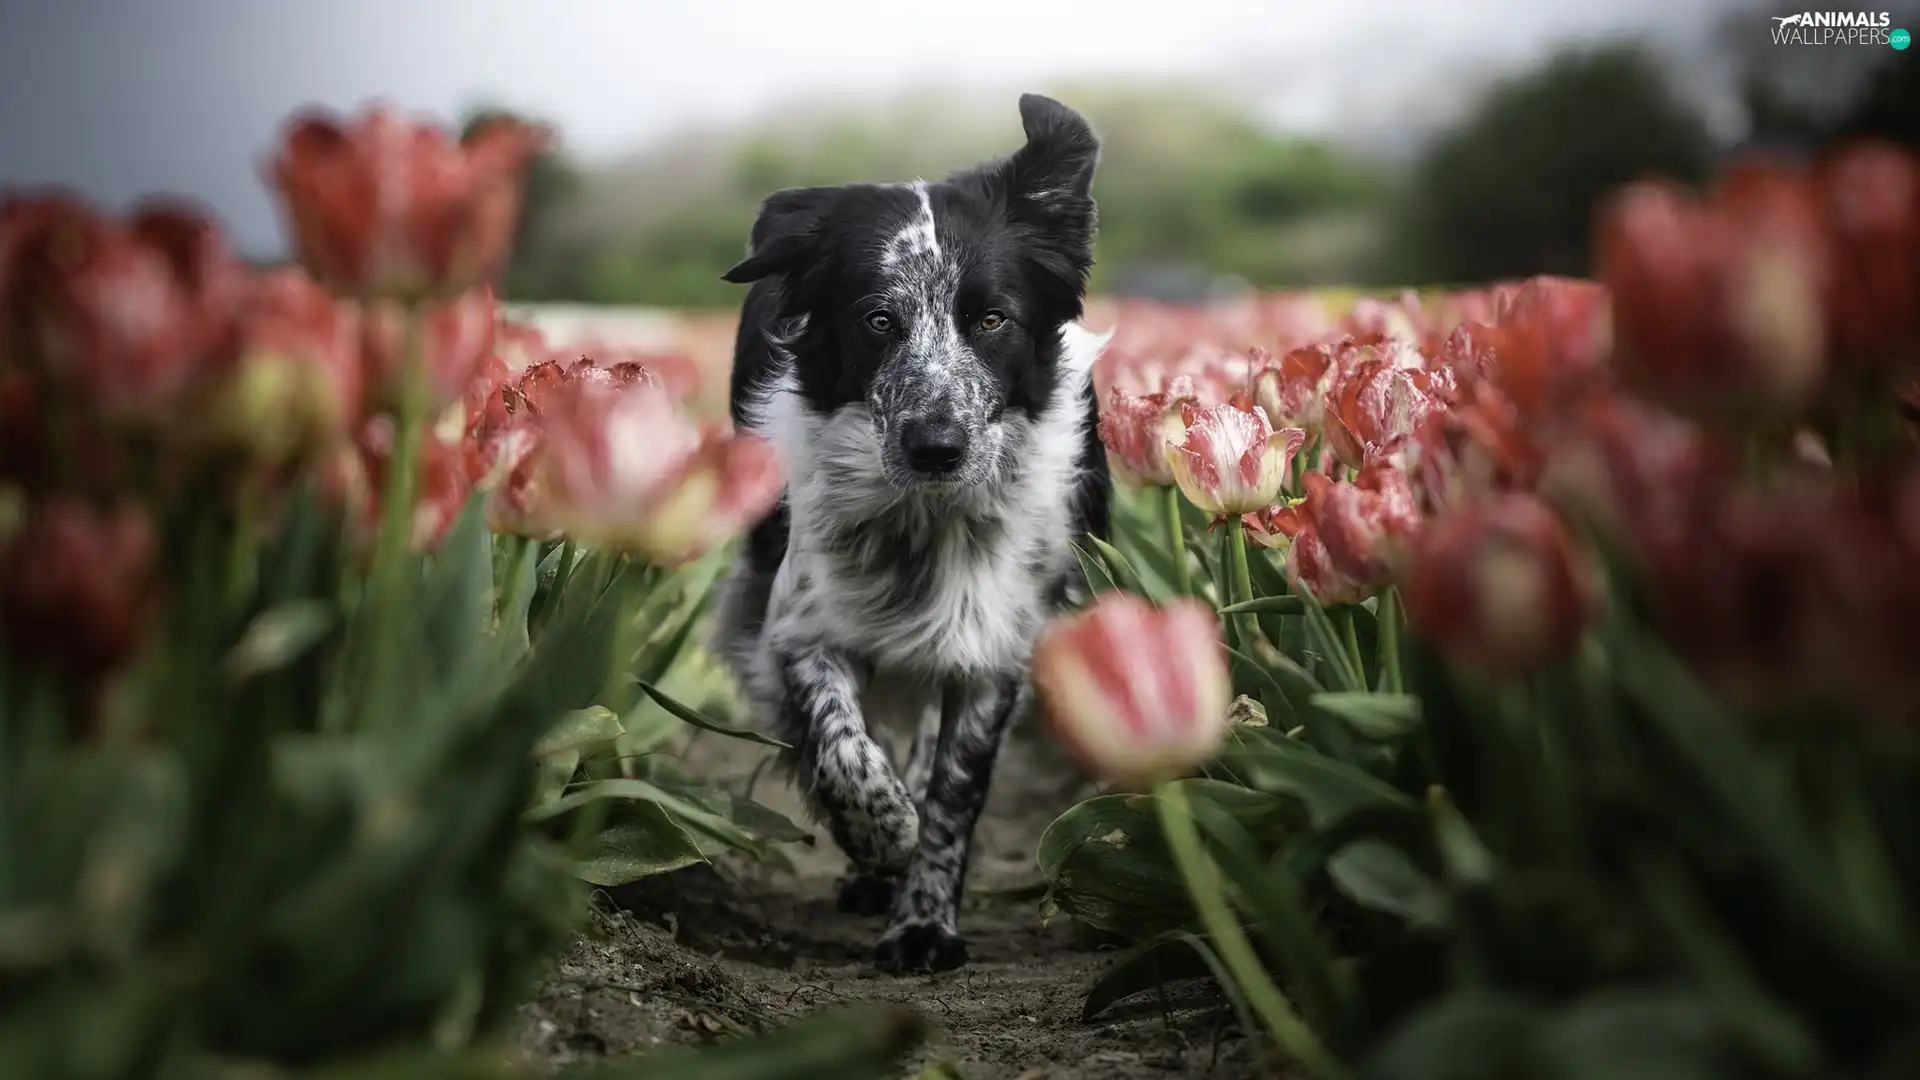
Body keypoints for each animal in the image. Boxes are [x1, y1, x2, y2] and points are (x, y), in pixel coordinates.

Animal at [714, 94, 1113, 968]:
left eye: (993, 319)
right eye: (878, 320)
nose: (937, 446)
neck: (926, 520)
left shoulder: (995, 649)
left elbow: (952, 795)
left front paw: (925, 918)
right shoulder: (799, 625)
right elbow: (843, 747)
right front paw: (880, 835)